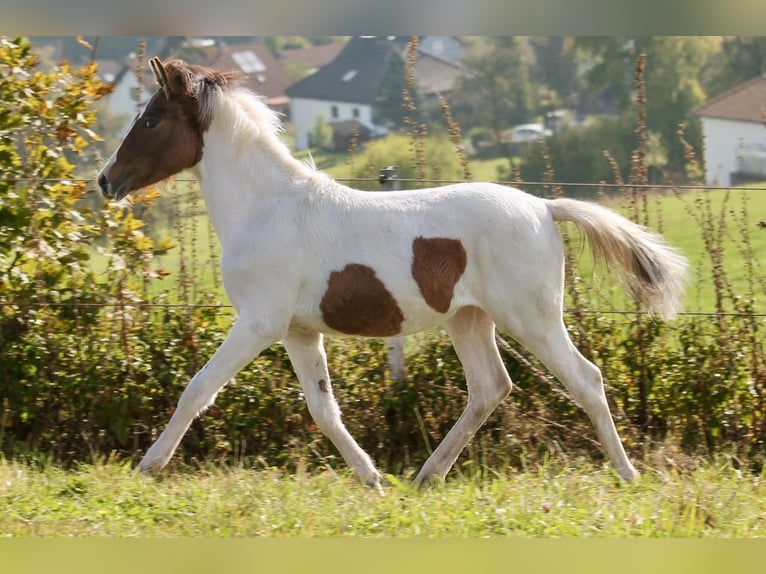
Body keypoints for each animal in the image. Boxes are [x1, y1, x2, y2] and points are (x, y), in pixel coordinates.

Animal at [97, 57, 688, 490]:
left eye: (151, 119)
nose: (106, 181)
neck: (266, 207)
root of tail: (544, 208)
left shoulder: (259, 323)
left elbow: (198, 389)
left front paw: (149, 465)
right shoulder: (298, 332)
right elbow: (324, 410)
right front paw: (373, 479)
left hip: (532, 319)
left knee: (585, 379)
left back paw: (627, 474)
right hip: (469, 320)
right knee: (489, 388)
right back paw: (427, 476)